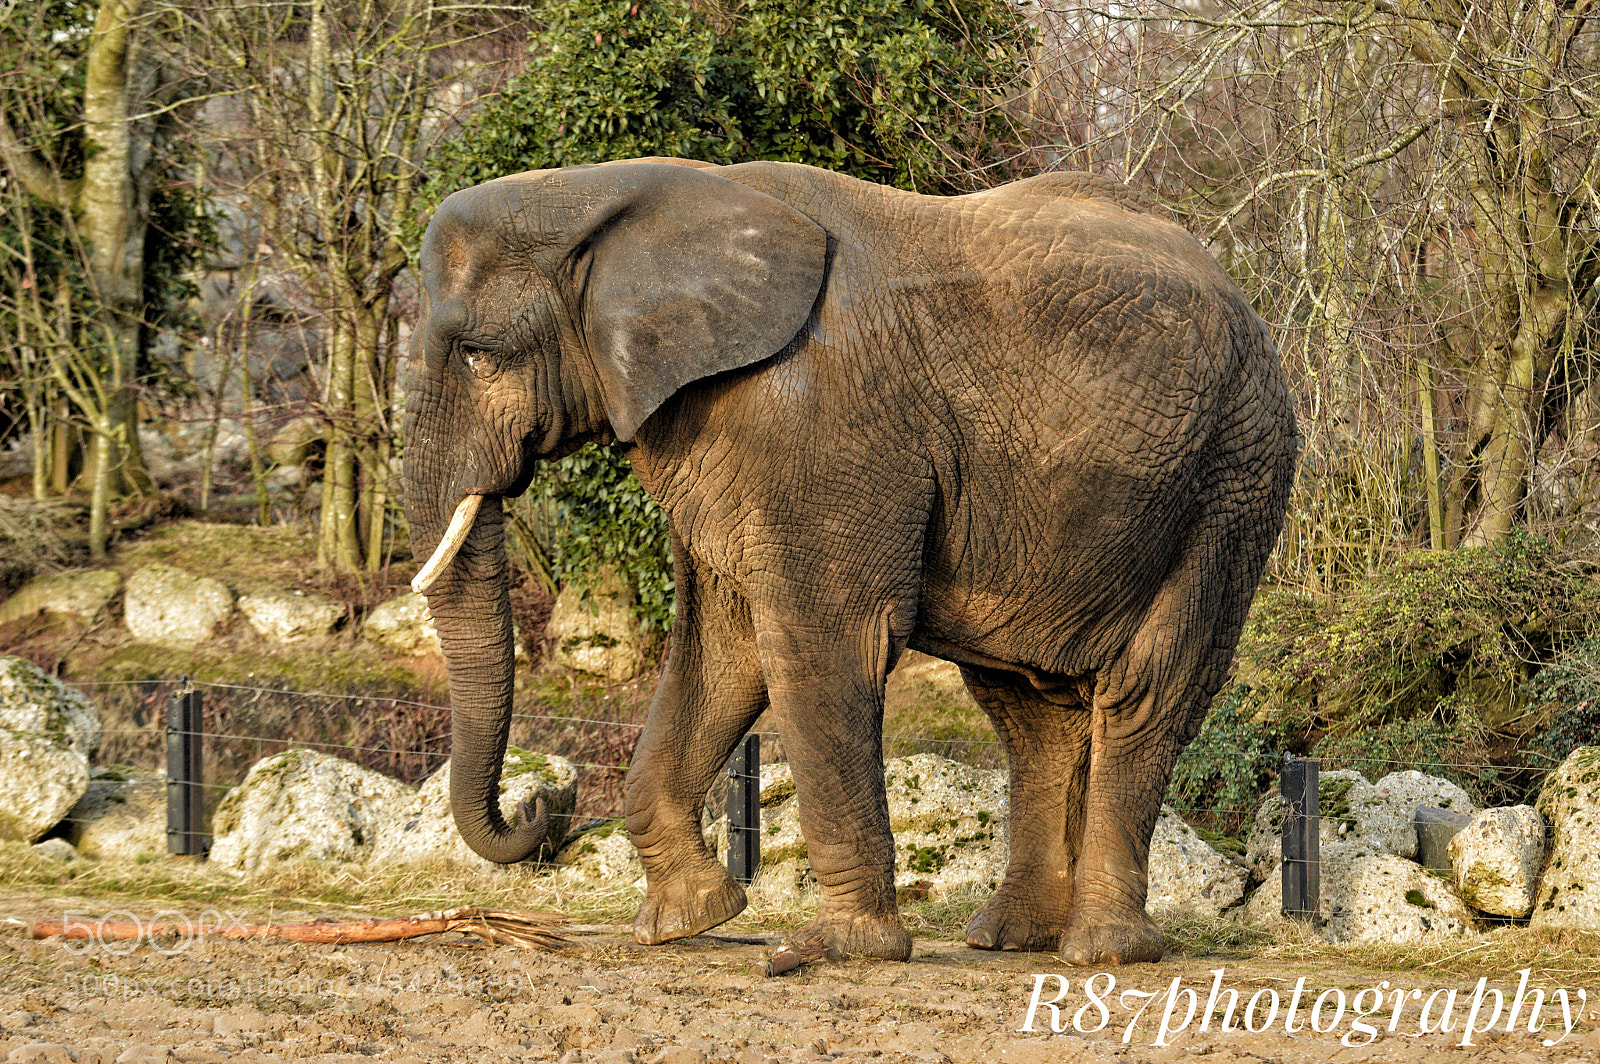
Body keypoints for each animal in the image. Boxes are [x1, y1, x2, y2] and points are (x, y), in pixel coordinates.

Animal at [403, 157, 1297, 966]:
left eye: (478, 355)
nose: (536, 816)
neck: (603, 193)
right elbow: (721, 650)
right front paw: (685, 923)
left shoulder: (816, 422)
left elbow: (819, 644)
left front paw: (831, 950)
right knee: (1025, 709)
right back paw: (1010, 939)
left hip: (1233, 478)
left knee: (1147, 690)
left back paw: (1103, 953)